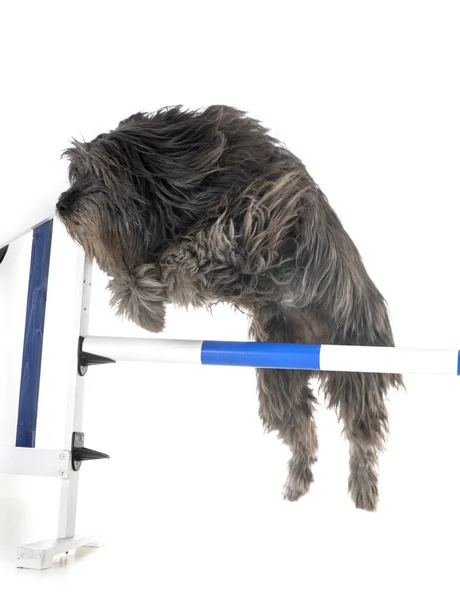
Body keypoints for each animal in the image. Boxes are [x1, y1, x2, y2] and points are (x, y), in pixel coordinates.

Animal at [56, 104, 402, 510]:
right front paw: (146, 305)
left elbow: (203, 245)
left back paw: (364, 491)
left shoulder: (264, 215)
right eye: (76, 172)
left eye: (100, 173)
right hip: (278, 381)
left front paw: (168, 280)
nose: (60, 205)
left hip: (356, 368)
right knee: (303, 432)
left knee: (362, 436)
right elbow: (136, 274)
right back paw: (296, 484)